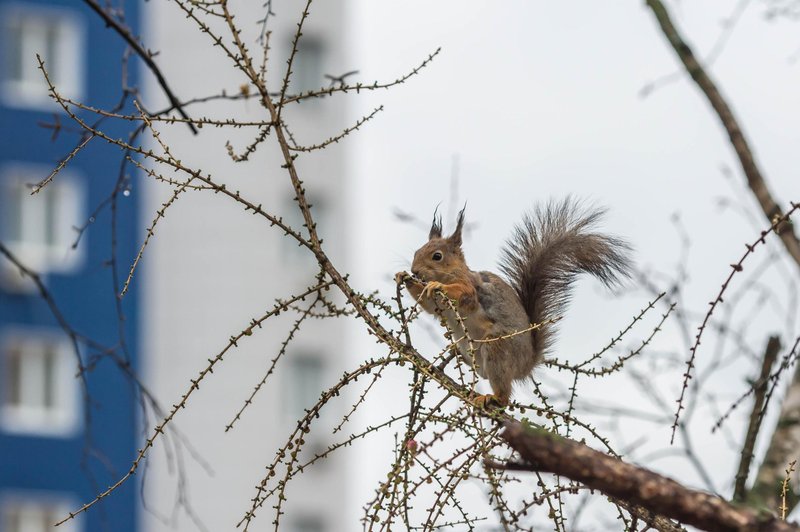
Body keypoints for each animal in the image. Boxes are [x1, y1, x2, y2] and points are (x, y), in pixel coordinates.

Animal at [396, 197, 632, 410]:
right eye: (416, 252)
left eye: (437, 256)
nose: (415, 271)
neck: (453, 273)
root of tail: (526, 365)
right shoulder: (438, 308)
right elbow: (428, 306)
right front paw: (403, 277)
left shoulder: (471, 288)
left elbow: (464, 296)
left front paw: (436, 285)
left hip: (497, 348)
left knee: (504, 394)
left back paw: (492, 398)